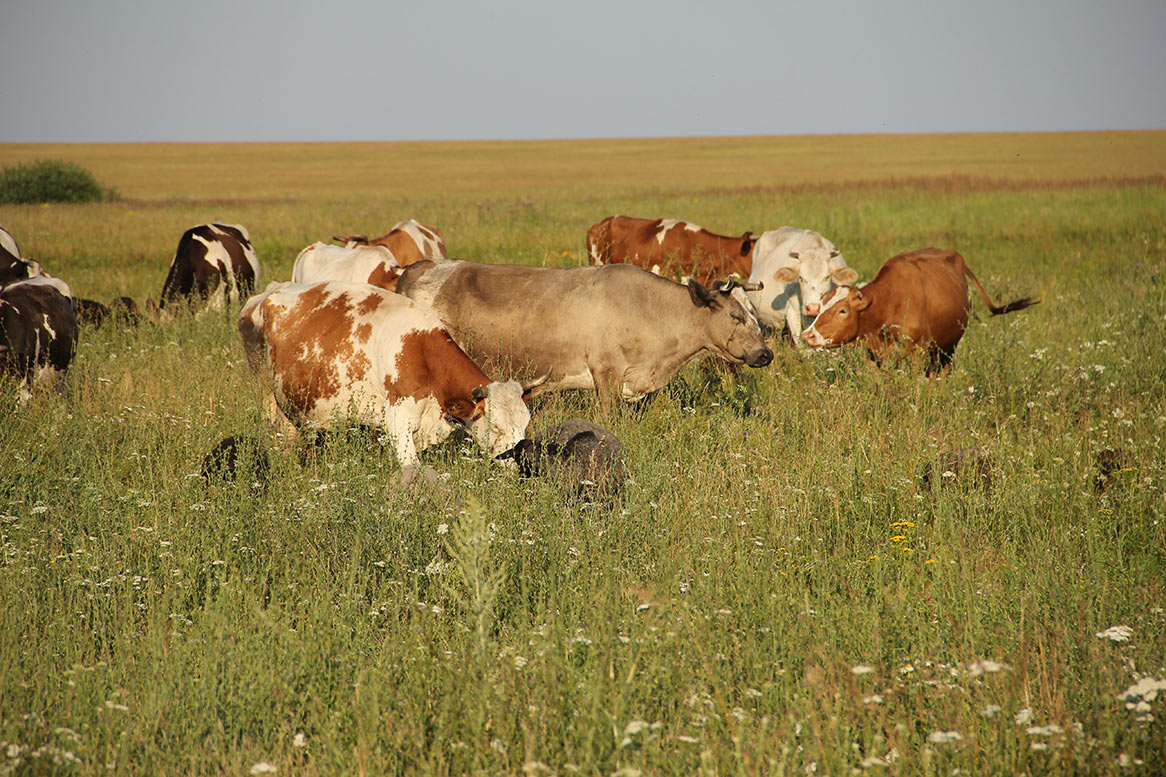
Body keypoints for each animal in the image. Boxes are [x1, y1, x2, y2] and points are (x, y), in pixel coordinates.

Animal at [237, 280, 536, 471]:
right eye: (495, 427)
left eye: (524, 425)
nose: (514, 464)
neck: (422, 352)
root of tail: (265, 295)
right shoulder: (397, 420)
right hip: (267, 395)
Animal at [802, 246, 1040, 371]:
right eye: (821, 306)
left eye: (842, 311)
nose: (808, 335)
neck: (889, 305)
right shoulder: (874, 356)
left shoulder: (918, 355)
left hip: (948, 349)